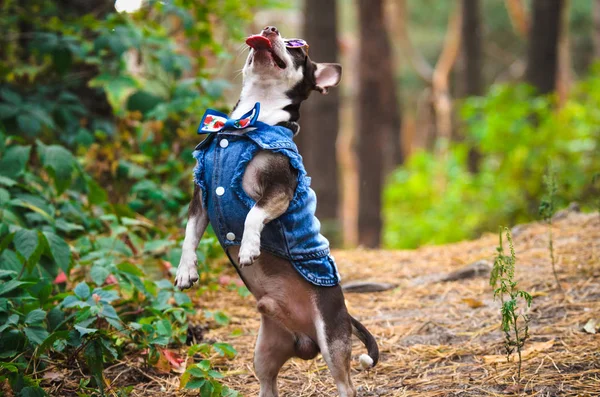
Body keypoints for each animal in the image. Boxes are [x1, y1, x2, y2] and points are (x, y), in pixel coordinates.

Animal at [175, 26, 380, 394]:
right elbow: (188, 236)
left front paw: (249, 248)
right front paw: (186, 271)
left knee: (346, 383)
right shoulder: (201, 199)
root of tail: (304, 339)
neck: (244, 126)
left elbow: (253, 214)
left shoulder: (279, 190)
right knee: (268, 381)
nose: (270, 29)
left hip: (331, 339)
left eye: (298, 50)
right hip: (265, 351)